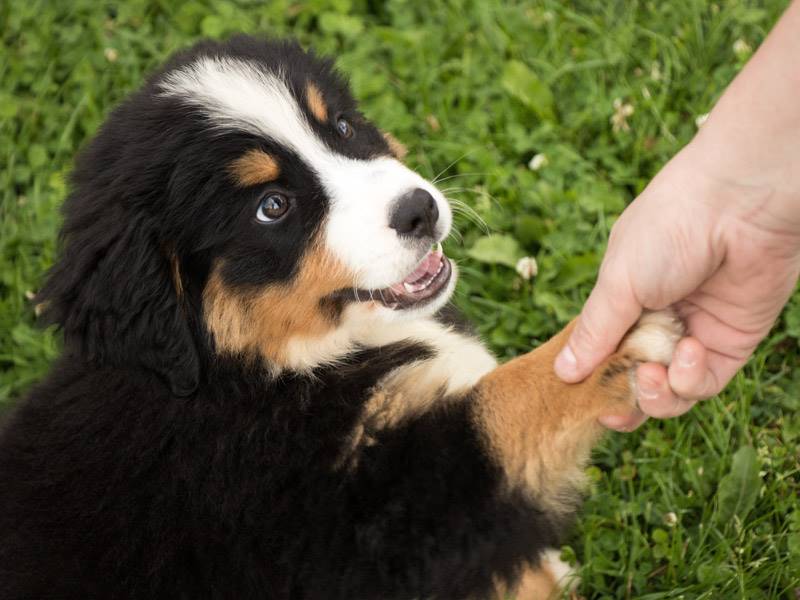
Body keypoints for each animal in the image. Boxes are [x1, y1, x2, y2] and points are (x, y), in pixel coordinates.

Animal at [0, 37, 680, 600]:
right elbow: (496, 412)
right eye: (272, 206)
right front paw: (608, 347)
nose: (418, 210)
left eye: (346, 127)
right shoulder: (362, 531)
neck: (255, 372)